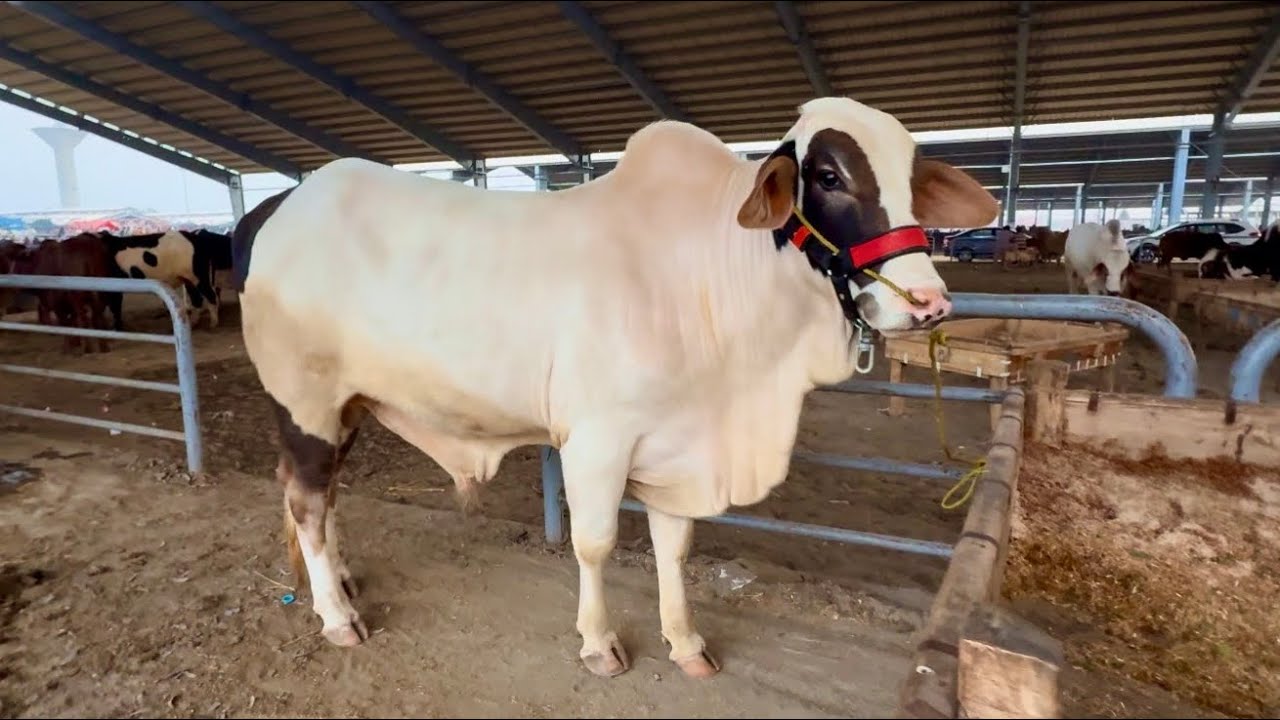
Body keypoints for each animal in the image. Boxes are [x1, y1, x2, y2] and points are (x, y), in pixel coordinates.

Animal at [100, 228, 233, 330]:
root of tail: (194, 237)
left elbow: (115, 307)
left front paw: (117, 328)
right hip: (188, 279)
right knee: (197, 299)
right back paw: (194, 323)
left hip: (198, 276)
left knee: (210, 295)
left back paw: (213, 324)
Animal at [232, 97, 998, 679]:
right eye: (830, 175)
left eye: (911, 178)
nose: (928, 302)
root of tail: (279, 204)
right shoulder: (597, 439)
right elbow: (595, 543)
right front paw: (600, 643)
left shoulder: (679, 445)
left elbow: (674, 547)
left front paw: (685, 643)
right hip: (306, 404)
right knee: (306, 500)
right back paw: (338, 617)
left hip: (346, 408)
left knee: (322, 498)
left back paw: (337, 582)